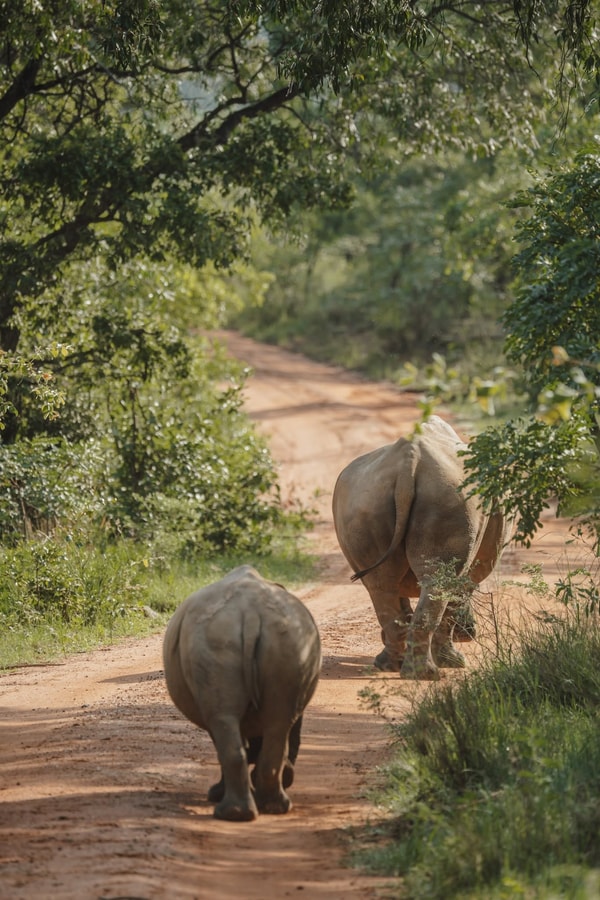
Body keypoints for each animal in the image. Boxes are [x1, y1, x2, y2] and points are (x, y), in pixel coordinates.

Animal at [163, 565, 321, 821]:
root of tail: (251, 616)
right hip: (288, 641)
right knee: (278, 721)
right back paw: (271, 808)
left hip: (213, 641)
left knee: (225, 721)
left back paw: (232, 813)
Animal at [332, 416, 513, 680]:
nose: (469, 634)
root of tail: (408, 467)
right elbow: (458, 594)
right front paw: (454, 661)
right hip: (449, 498)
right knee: (439, 583)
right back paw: (429, 673)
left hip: (364, 501)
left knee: (381, 586)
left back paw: (391, 666)